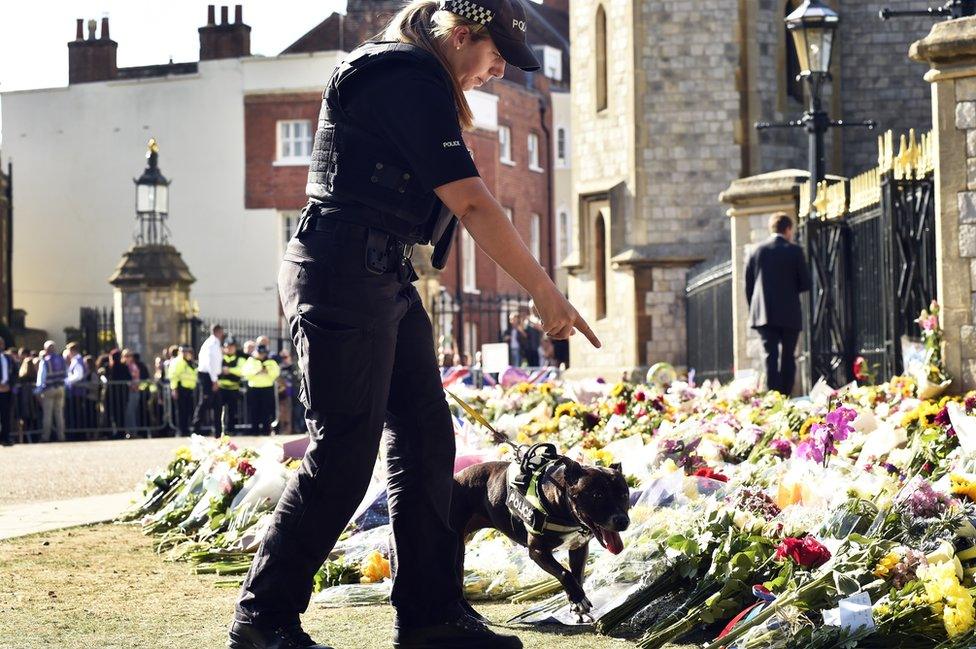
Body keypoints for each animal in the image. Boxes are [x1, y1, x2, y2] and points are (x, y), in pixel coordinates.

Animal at [452, 450, 632, 616]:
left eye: (624, 494)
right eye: (597, 495)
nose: (623, 521)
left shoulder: (578, 548)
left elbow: (577, 575)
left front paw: (575, 600)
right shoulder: (537, 551)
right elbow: (564, 573)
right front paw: (578, 599)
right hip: (457, 551)